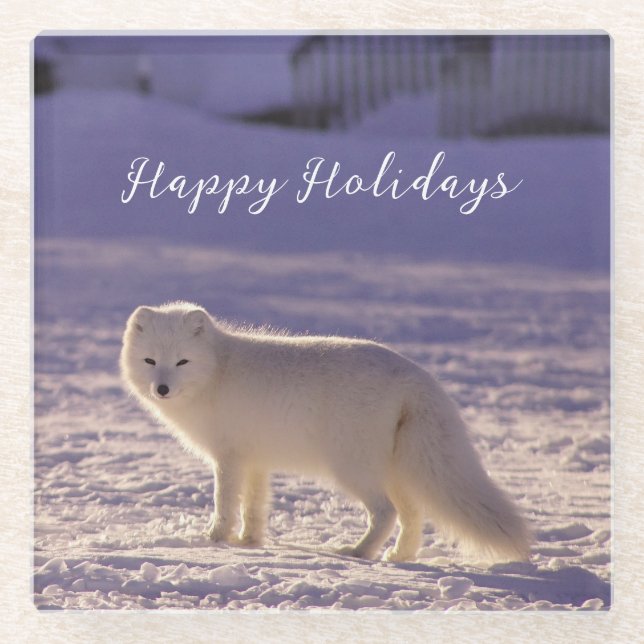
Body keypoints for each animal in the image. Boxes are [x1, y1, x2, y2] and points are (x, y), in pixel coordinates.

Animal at [120, 301, 530, 563]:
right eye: (150, 361)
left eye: (182, 362)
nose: (162, 389)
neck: (217, 372)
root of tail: (417, 376)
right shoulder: (255, 460)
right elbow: (254, 506)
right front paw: (250, 542)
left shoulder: (229, 458)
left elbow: (225, 503)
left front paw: (214, 540)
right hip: (396, 470)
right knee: (412, 515)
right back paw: (399, 557)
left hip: (352, 467)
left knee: (386, 512)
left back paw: (359, 552)